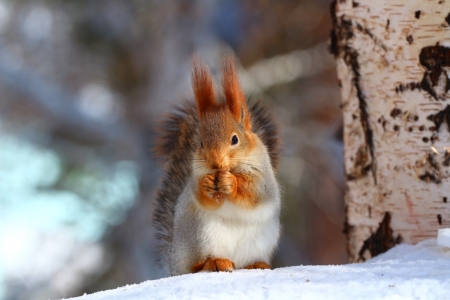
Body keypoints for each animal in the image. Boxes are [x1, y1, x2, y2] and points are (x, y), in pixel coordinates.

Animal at [153, 57, 280, 276]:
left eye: (235, 139)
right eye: (201, 143)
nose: (215, 163)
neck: (230, 168)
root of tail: (174, 261)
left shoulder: (263, 175)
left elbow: (256, 192)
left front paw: (232, 183)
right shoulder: (195, 175)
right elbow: (202, 196)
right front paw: (207, 184)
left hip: (261, 241)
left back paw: (257, 264)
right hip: (201, 235)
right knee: (195, 266)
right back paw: (214, 262)